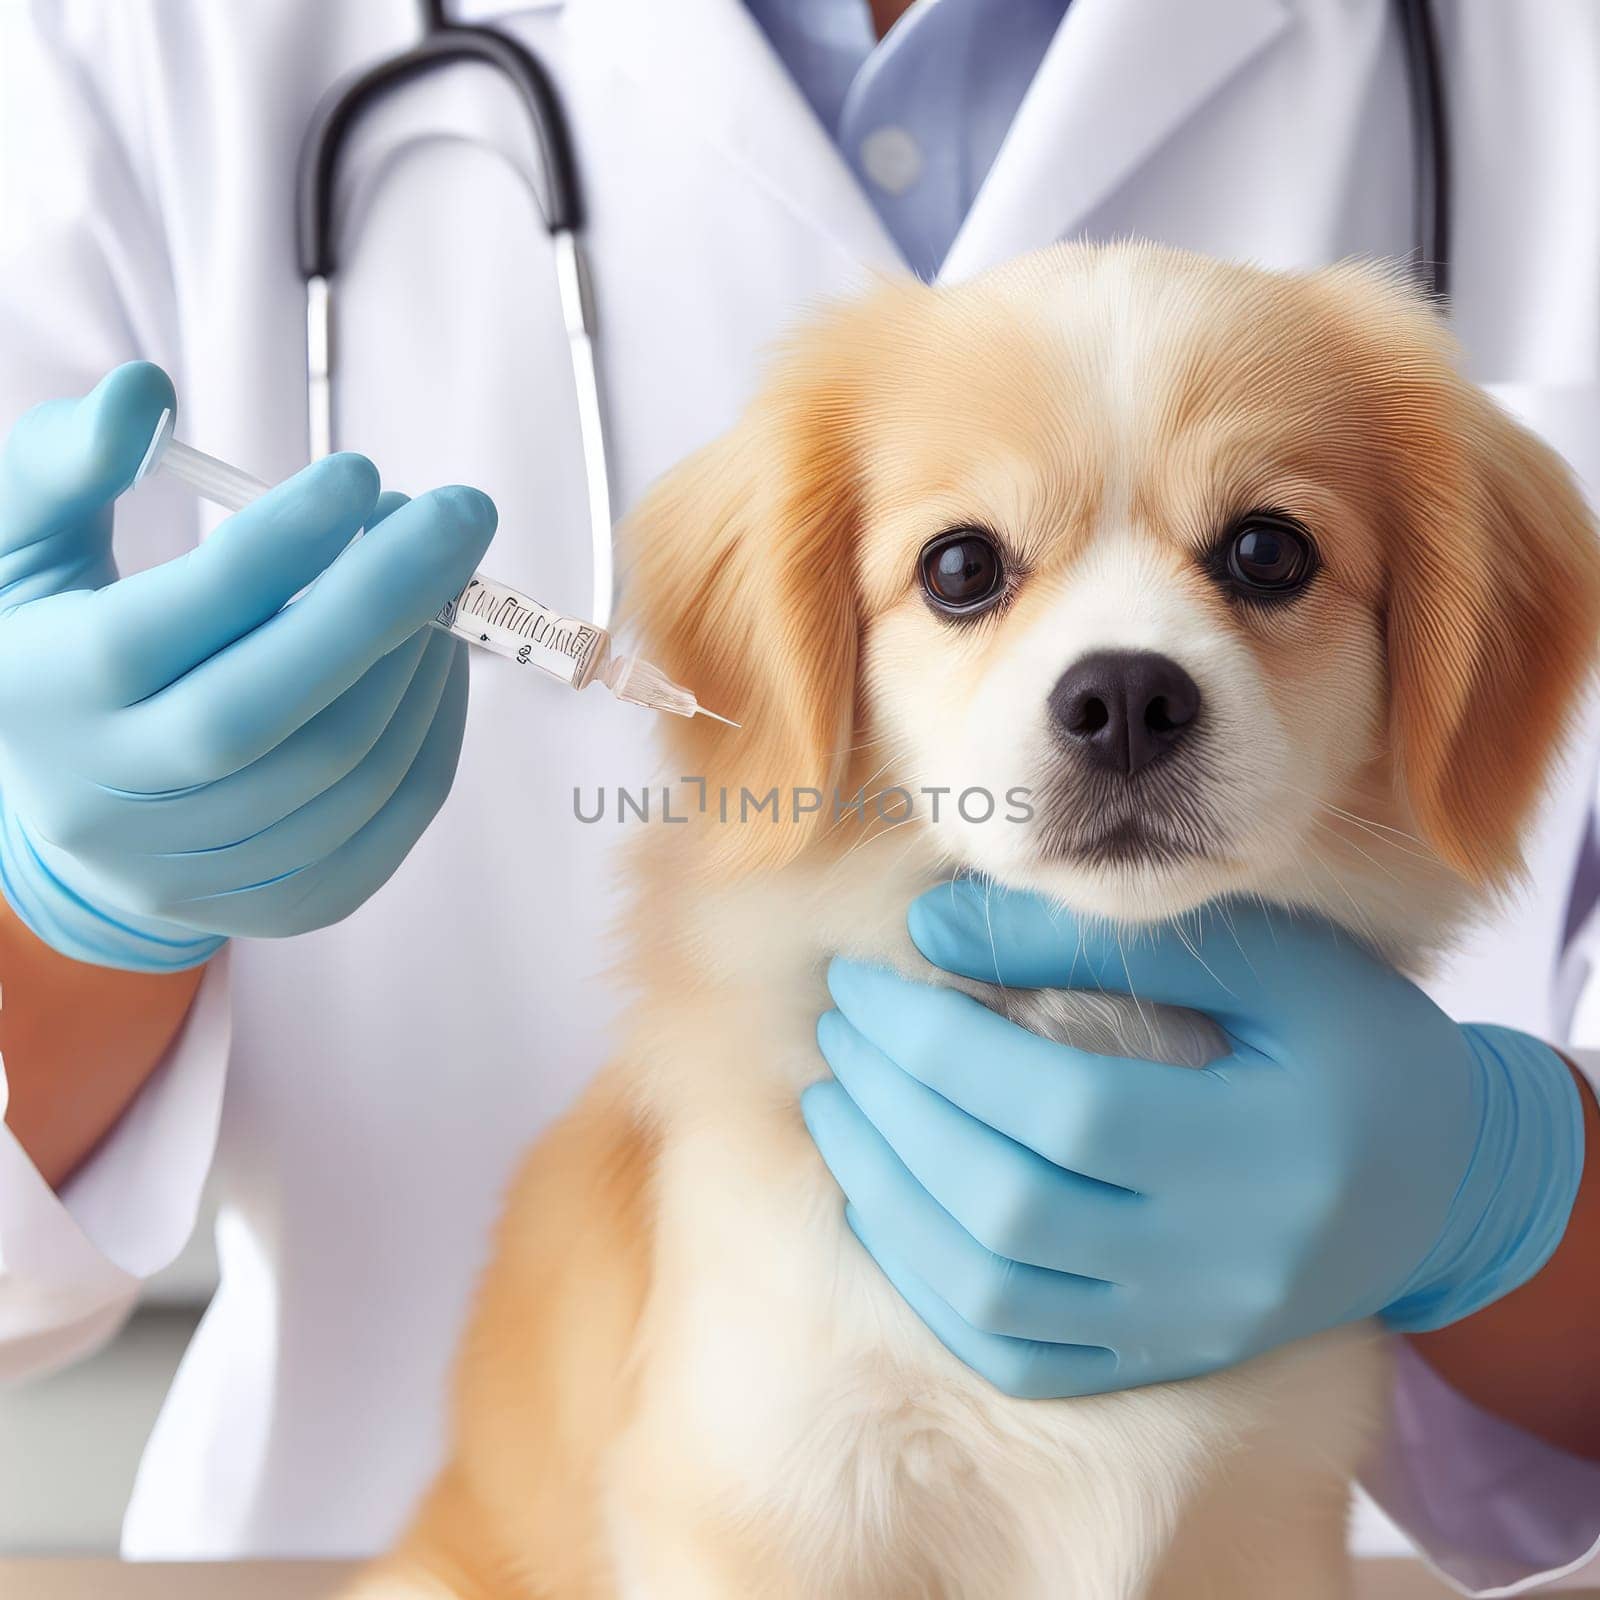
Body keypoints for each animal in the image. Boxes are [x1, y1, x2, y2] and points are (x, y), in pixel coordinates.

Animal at [350, 243, 1600, 1600]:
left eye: (1268, 551)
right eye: (959, 568)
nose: (1124, 696)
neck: (1095, 1033)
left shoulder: (1270, 1517)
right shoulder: (768, 1502)